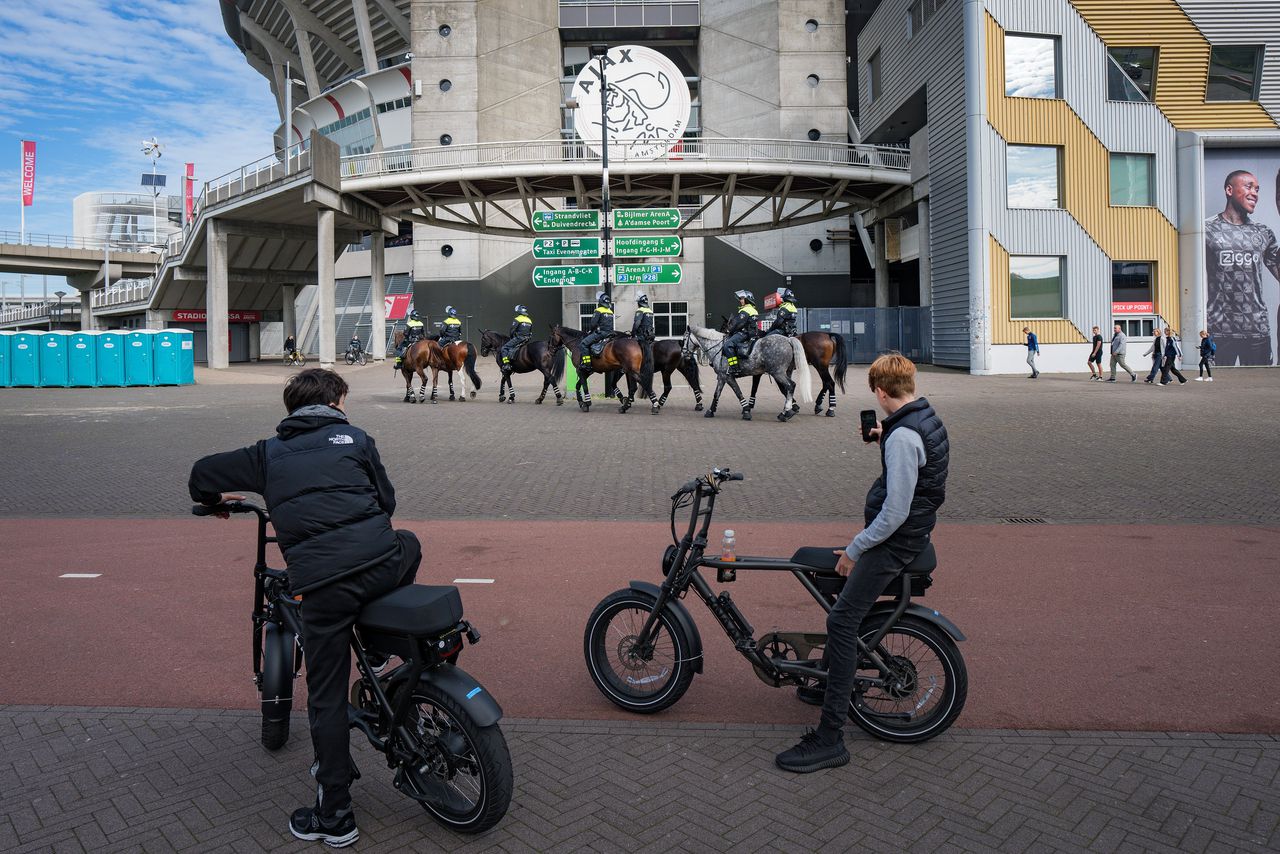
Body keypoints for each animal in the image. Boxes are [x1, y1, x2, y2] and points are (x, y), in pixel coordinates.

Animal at [680, 325, 808, 422]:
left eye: (684, 339)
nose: (683, 353)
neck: (718, 348)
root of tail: (788, 340)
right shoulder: (722, 377)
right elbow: (717, 394)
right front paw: (711, 411)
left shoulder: (727, 376)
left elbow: (738, 392)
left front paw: (746, 411)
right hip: (785, 372)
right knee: (788, 388)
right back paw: (789, 411)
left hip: (778, 373)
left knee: (790, 386)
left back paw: (785, 413)